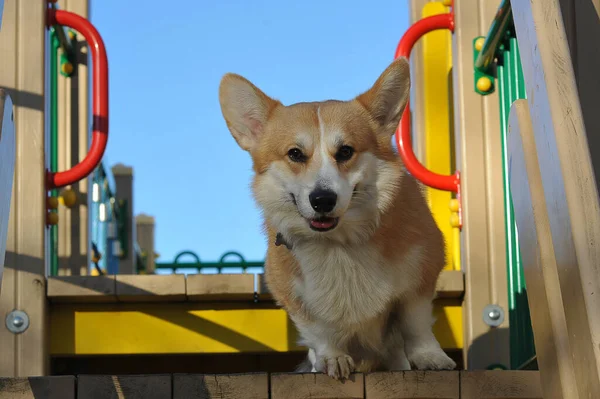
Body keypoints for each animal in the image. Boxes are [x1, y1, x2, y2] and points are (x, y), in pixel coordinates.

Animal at [218, 57, 458, 380]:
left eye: (345, 151)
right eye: (295, 154)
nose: (322, 200)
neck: (339, 244)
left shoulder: (420, 278)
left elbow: (416, 324)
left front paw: (431, 358)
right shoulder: (294, 295)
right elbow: (319, 332)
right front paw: (333, 358)